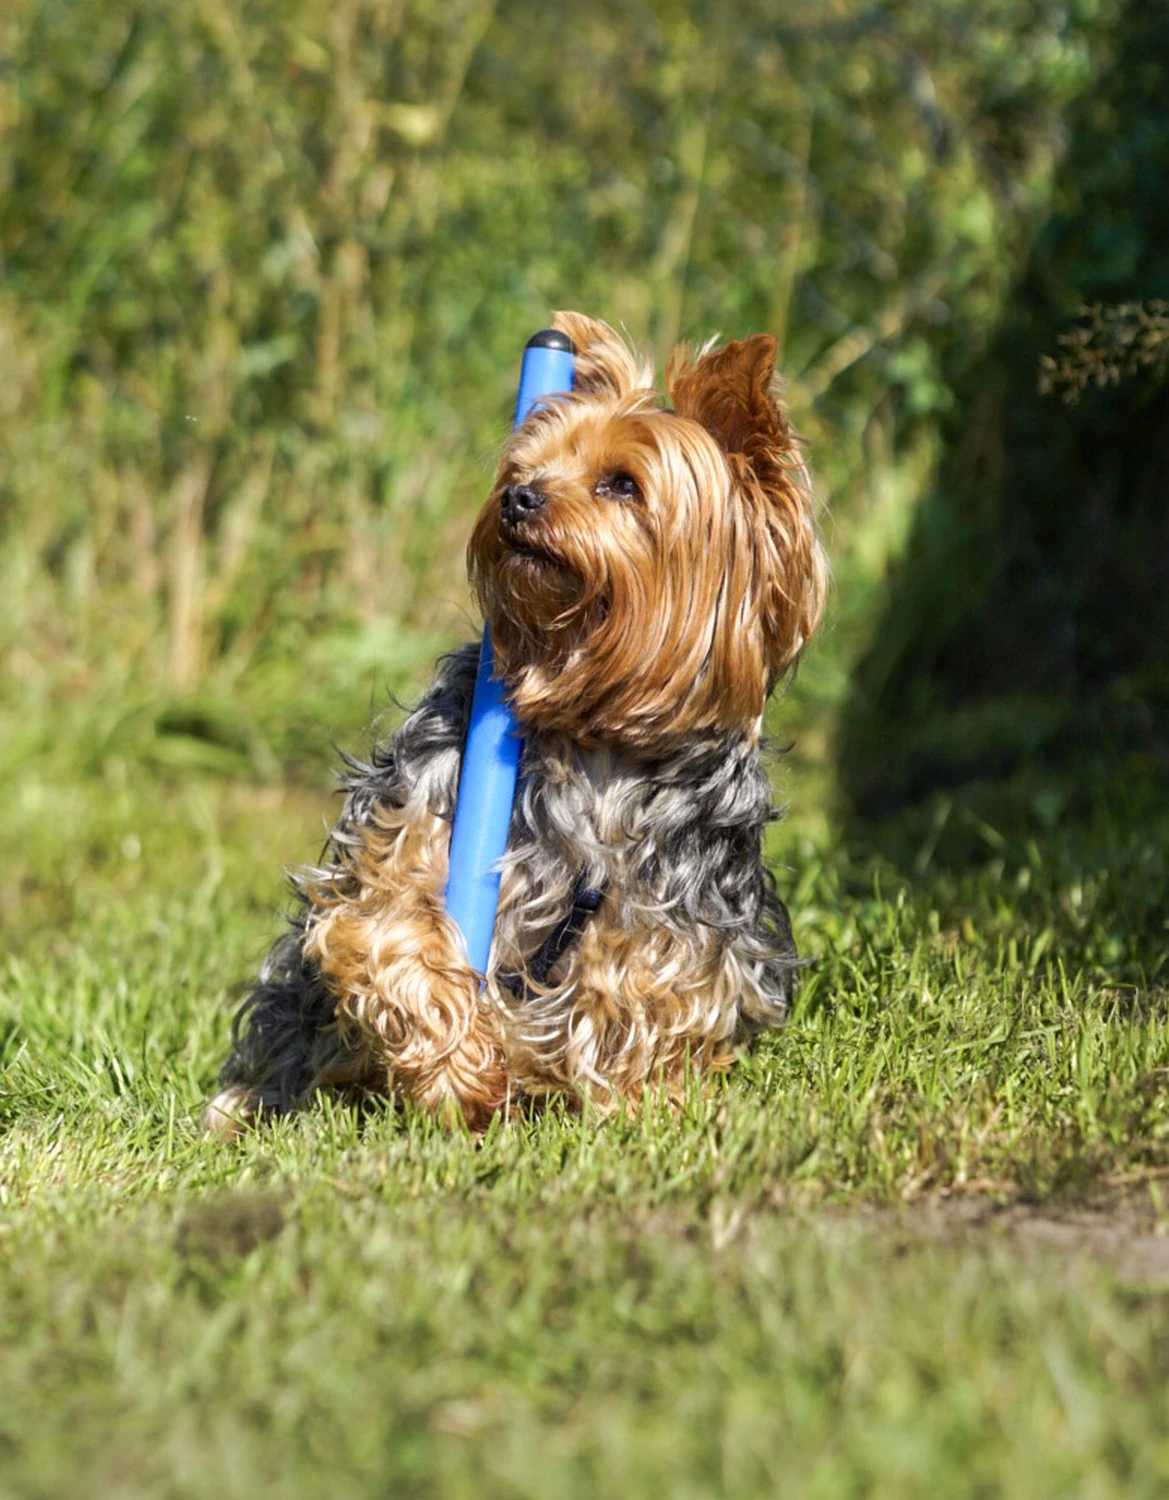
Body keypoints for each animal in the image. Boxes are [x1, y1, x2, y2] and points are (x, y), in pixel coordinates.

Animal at [210, 316, 828, 1128]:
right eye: (524, 466)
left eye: (621, 483)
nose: (517, 498)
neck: (596, 737)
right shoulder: (409, 827)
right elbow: (389, 931)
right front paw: (463, 1074)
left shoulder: (679, 914)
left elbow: (649, 985)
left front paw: (642, 1104)